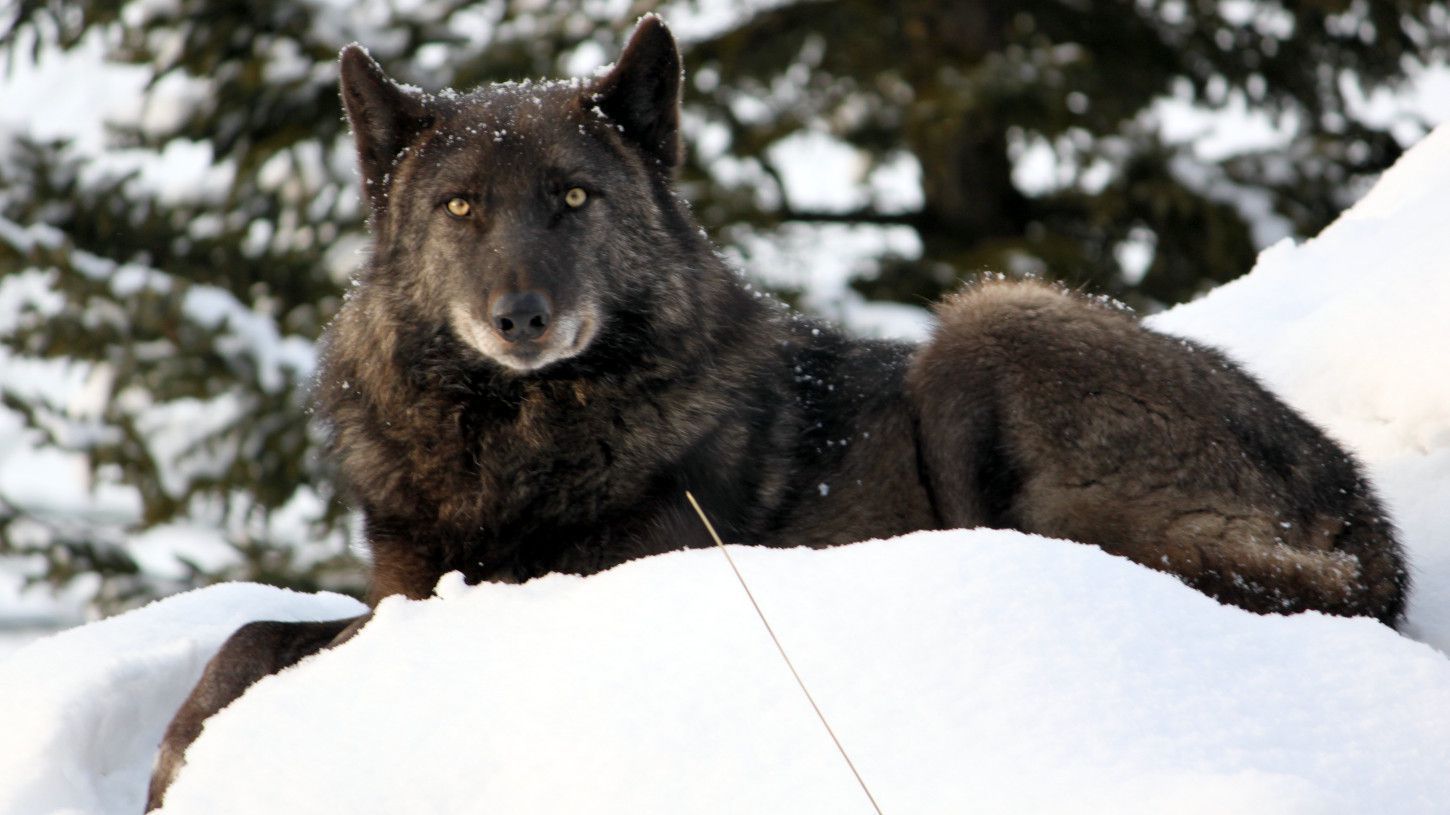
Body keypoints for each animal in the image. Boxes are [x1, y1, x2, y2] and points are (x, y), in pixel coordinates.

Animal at [141, 14, 1397, 806]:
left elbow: (272, 641)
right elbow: (249, 633)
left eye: (574, 197)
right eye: (459, 206)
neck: (515, 438)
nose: (522, 316)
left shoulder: (537, 590)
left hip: (988, 322)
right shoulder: (404, 579)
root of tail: (1372, 540)